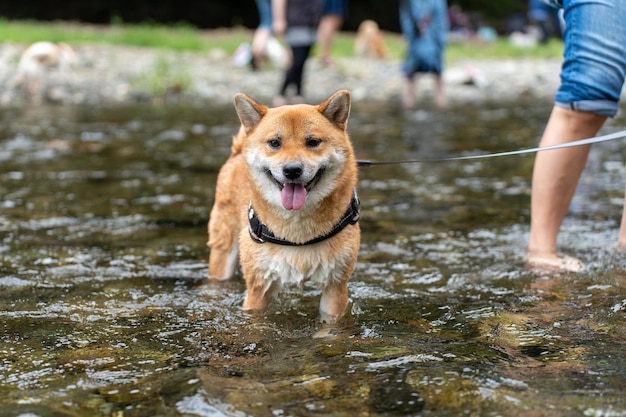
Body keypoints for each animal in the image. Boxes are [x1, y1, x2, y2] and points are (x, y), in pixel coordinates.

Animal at [207, 89, 358, 322]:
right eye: (274, 143)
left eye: (313, 142)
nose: (292, 169)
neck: (297, 234)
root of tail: (237, 153)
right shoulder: (259, 285)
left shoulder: (336, 285)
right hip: (223, 249)